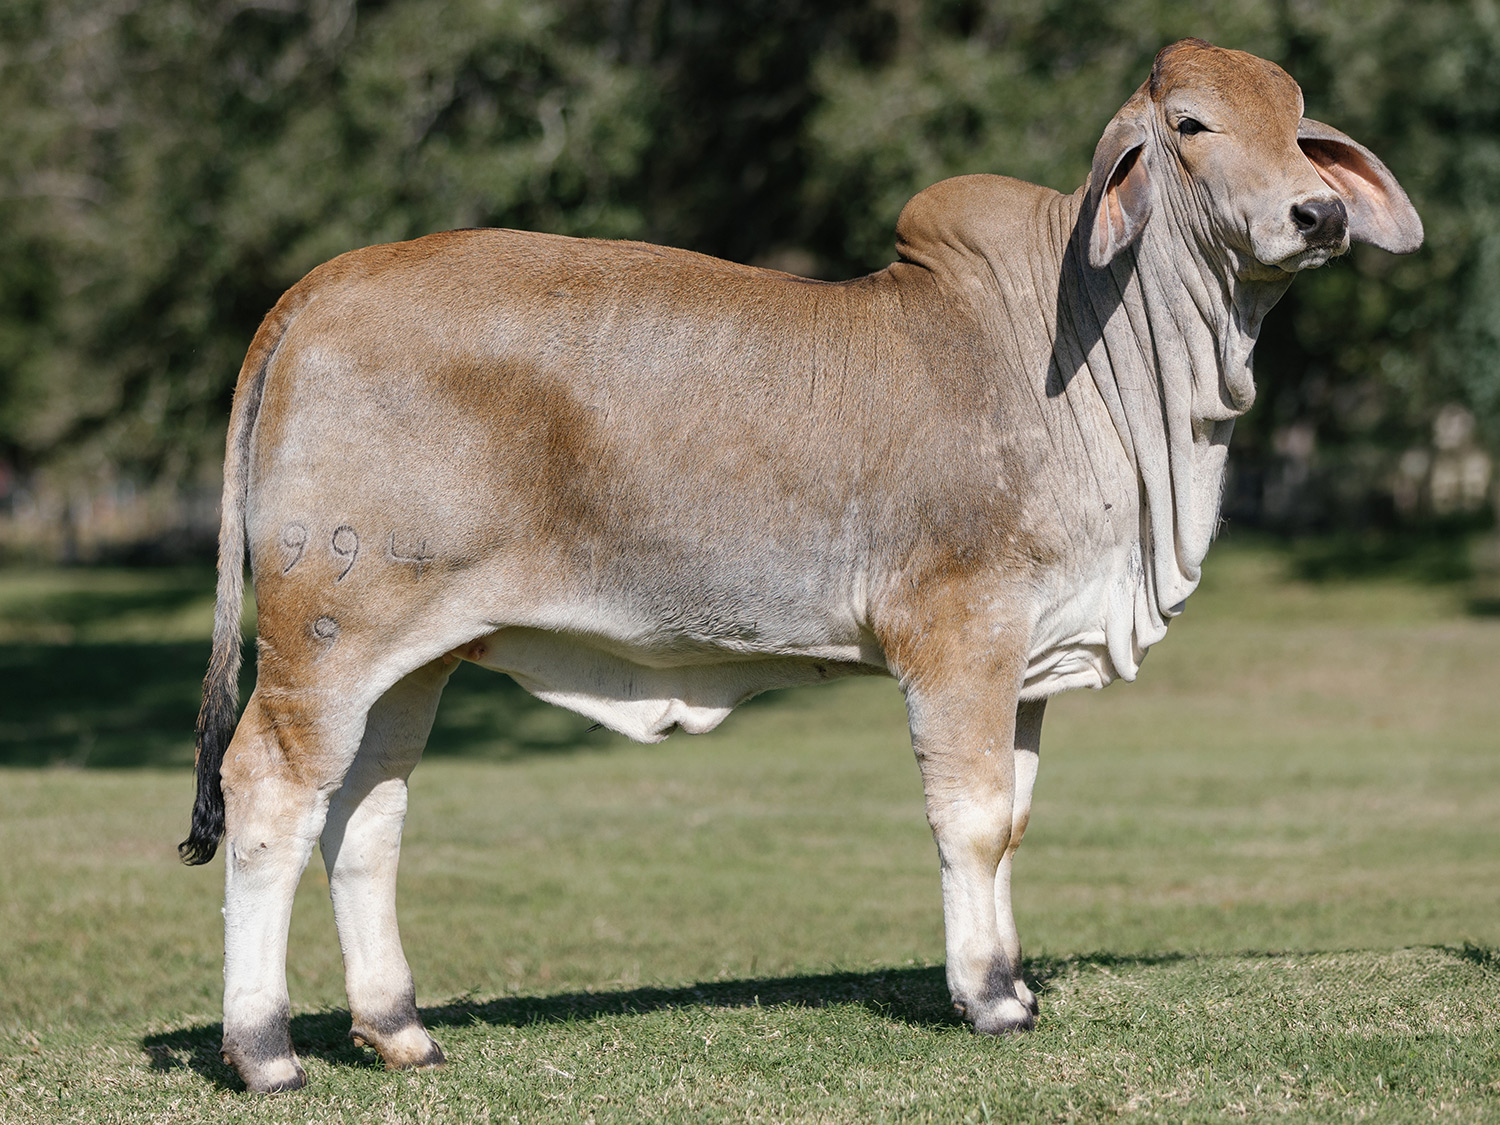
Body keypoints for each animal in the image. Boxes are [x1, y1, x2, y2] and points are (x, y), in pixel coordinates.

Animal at [175, 39, 1416, 1098]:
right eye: (1194, 124)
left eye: (1301, 125)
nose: (1315, 212)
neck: (1083, 355)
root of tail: (320, 287)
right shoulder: (959, 633)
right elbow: (971, 818)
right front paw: (987, 998)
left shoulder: (1028, 657)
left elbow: (1012, 819)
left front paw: (1012, 982)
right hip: (328, 638)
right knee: (272, 794)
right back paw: (266, 1051)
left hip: (414, 657)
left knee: (366, 816)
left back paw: (400, 1029)